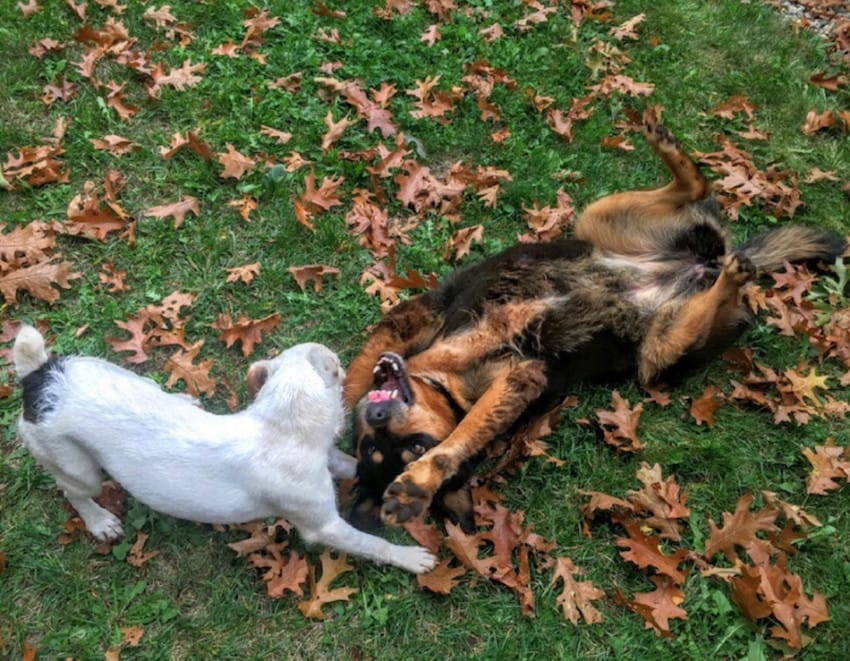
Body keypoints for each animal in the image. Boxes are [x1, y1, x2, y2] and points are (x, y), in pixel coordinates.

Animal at [11, 324, 438, 572]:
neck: (283, 423)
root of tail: (39, 377)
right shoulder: (324, 527)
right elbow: (372, 543)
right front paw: (409, 558)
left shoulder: (329, 458)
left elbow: (352, 465)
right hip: (79, 469)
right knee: (74, 493)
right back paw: (99, 520)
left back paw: (184, 399)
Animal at [342, 118, 844, 532]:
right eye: (373, 449)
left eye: (414, 448)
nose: (377, 414)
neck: (450, 390)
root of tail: (704, 265)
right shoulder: (522, 377)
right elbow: (463, 429)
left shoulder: (426, 315)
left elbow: (364, 371)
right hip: (661, 353)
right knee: (705, 297)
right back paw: (730, 277)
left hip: (598, 217)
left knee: (695, 185)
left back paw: (666, 148)